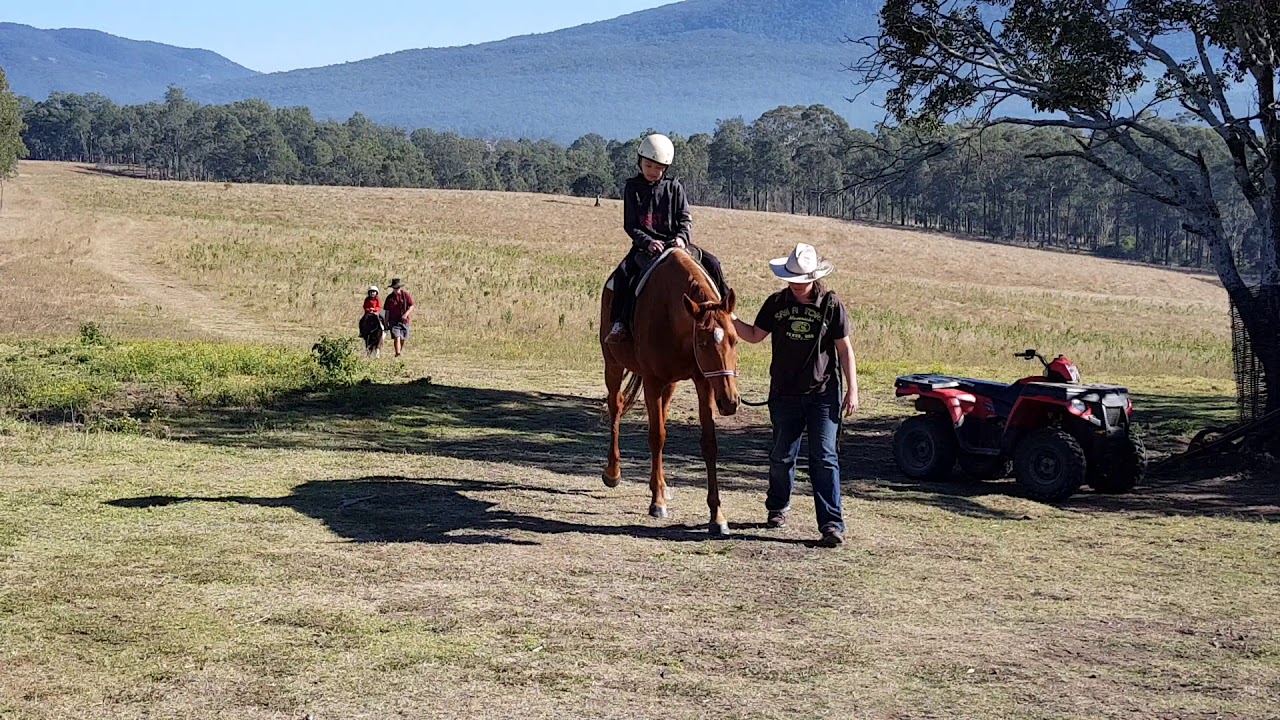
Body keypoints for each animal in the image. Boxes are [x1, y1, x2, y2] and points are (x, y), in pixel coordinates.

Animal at [599, 248, 741, 536]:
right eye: (703, 342)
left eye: (733, 339)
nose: (729, 402)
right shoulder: (652, 381)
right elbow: (657, 436)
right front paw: (657, 503)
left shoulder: (704, 383)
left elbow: (709, 443)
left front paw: (717, 516)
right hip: (613, 364)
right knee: (616, 406)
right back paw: (613, 472)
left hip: (671, 385)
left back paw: (662, 485)